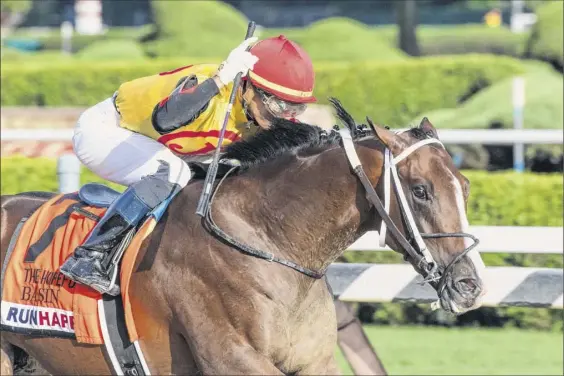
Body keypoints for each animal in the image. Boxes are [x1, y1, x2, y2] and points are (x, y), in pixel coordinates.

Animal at [0, 98, 486, 374]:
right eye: (421, 190)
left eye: (464, 186)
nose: (470, 285)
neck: (268, 241)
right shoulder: (233, 358)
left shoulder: (313, 361)